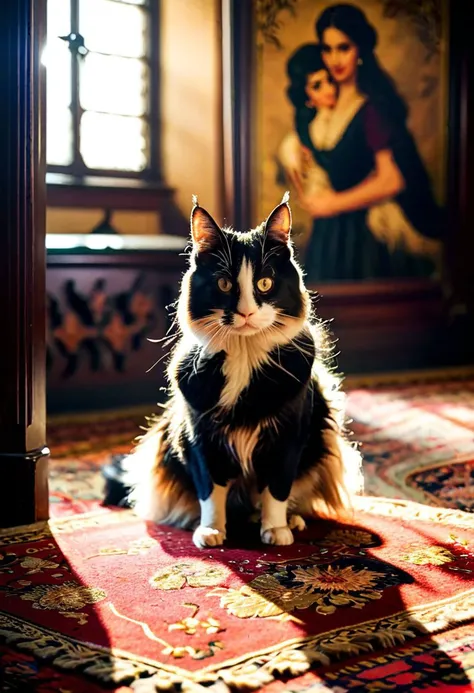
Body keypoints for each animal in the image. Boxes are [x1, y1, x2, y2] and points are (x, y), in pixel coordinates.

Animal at [115, 193, 362, 548]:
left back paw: (290, 520)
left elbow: (277, 488)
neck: (245, 358)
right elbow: (209, 489)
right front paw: (212, 530)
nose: (245, 312)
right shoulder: (199, 435)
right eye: (223, 283)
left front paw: (276, 529)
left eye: (265, 282)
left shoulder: (289, 435)